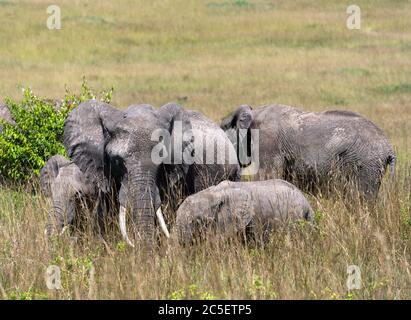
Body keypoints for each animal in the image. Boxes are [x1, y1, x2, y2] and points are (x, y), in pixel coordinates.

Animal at [220, 104, 398, 200]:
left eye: (223, 127)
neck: (255, 112)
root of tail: (389, 148)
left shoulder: (268, 143)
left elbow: (267, 178)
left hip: (366, 165)